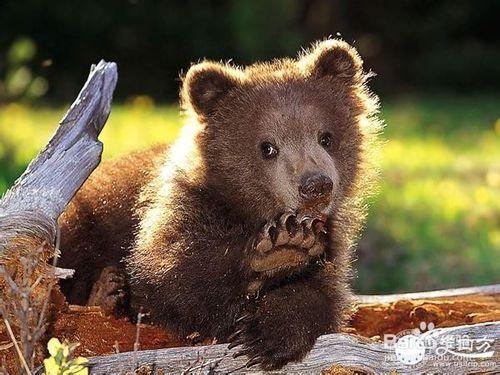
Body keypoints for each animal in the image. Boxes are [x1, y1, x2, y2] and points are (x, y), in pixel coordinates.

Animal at [57, 40, 378, 370]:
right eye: (267, 147)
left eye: (326, 137)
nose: (316, 186)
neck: (243, 210)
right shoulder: (178, 209)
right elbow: (173, 280)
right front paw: (276, 251)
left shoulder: (332, 243)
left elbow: (322, 295)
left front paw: (265, 333)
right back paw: (107, 290)